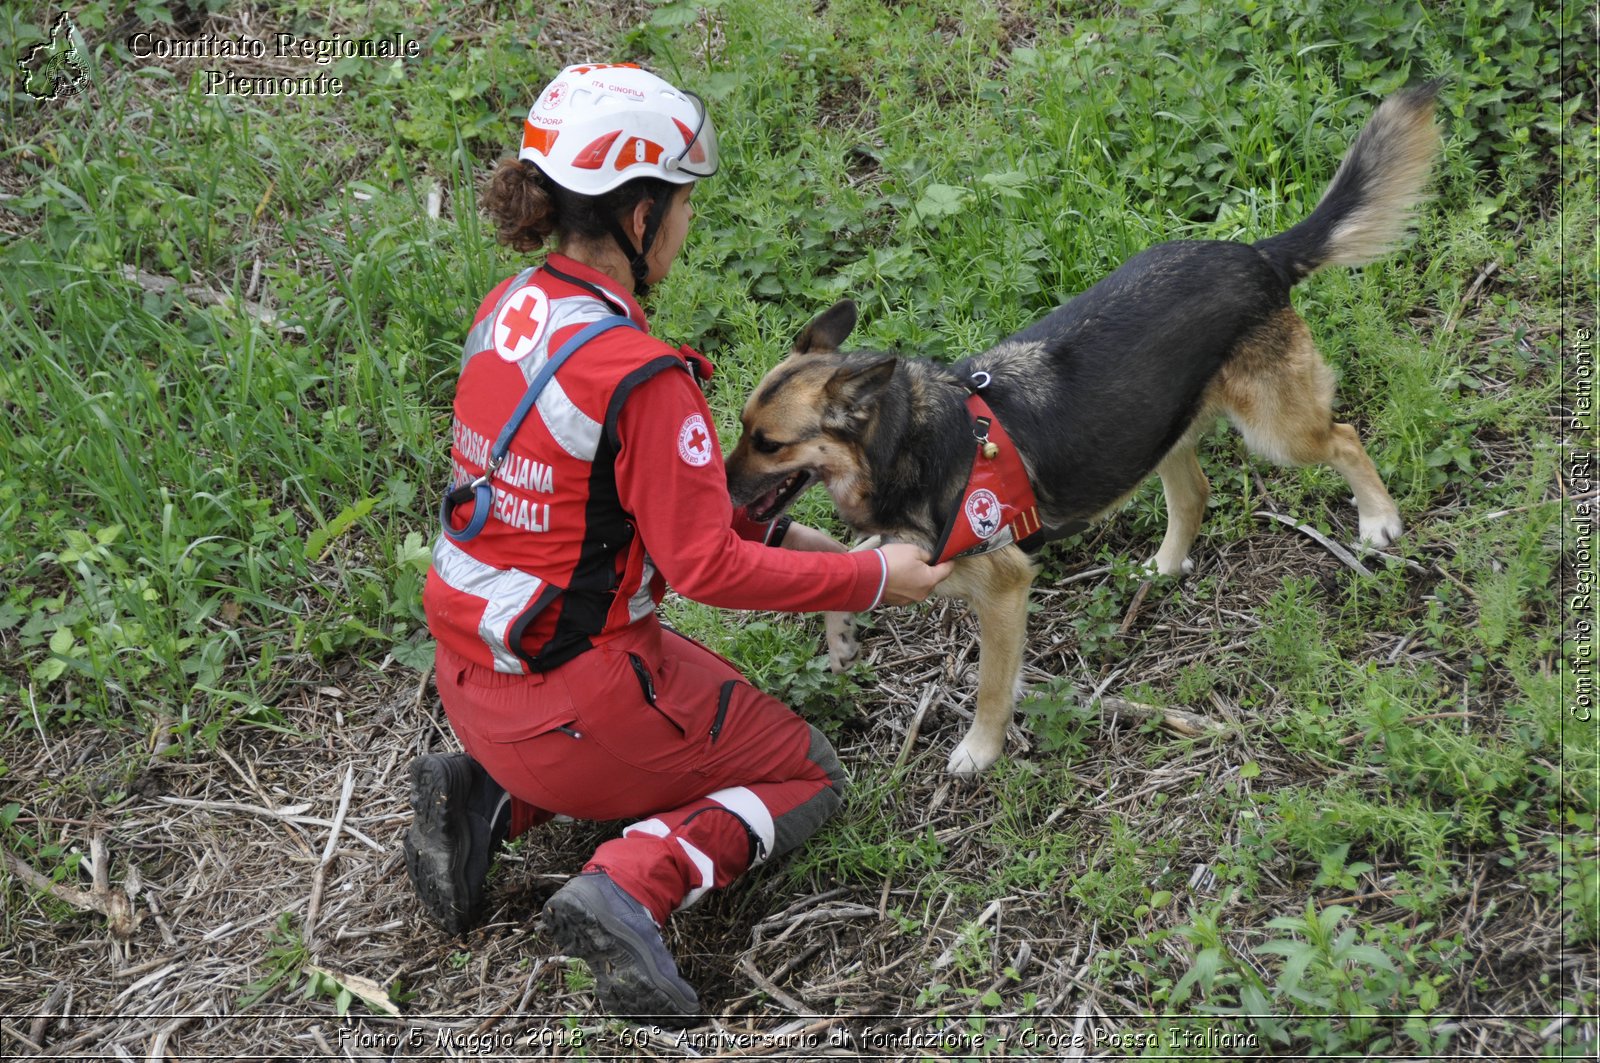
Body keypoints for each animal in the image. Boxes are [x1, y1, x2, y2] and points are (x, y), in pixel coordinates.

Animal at [723, 83, 1440, 771]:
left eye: (768, 444)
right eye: (741, 428)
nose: (718, 491)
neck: (908, 440)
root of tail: (1257, 254)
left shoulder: (1004, 589)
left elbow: (990, 685)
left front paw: (980, 751)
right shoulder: (911, 553)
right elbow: (843, 566)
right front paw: (841, 635)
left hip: (1276, 431)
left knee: (1344, 437)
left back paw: (1378, 521)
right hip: (1156, 428)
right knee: (1195, 491)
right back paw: (1165, 566)